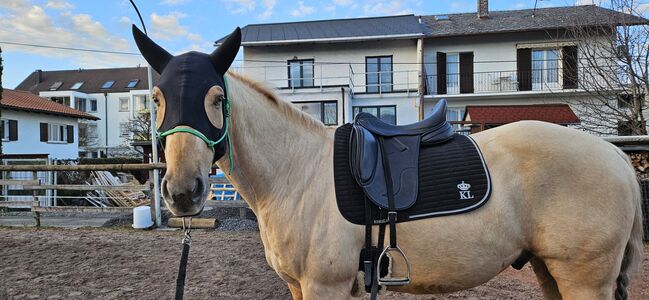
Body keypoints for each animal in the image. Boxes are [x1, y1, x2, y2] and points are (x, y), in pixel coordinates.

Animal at [133, 26, 644, 300]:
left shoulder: (325, 286)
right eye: (156, 98)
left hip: (584, 279)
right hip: (549, 270)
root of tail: (616, 157)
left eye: (216, 98)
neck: (295, 173)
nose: (182, 191)